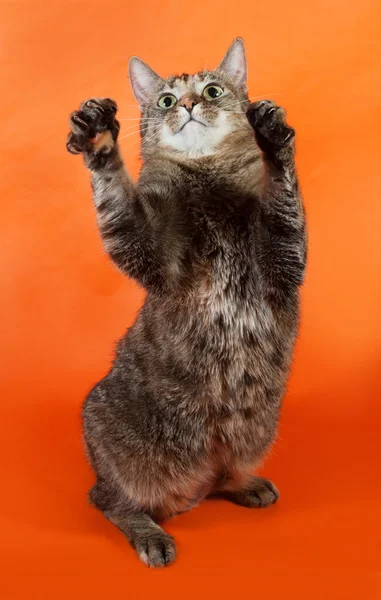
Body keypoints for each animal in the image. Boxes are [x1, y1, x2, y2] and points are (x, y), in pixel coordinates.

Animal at [67, 38, 308, 568]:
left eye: (212, 90)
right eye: (166, 100)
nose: (191, 105)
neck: (208, 182)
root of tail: (188, 493)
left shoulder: (284, 260)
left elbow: (285, 197)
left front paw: (273, 137)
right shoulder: (152, 253)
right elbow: (118, 203)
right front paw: (98, 139)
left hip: (253, 433)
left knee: (220, 473)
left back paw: (244, 483)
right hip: (118, 444)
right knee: (109, 500)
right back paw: (151, 534)